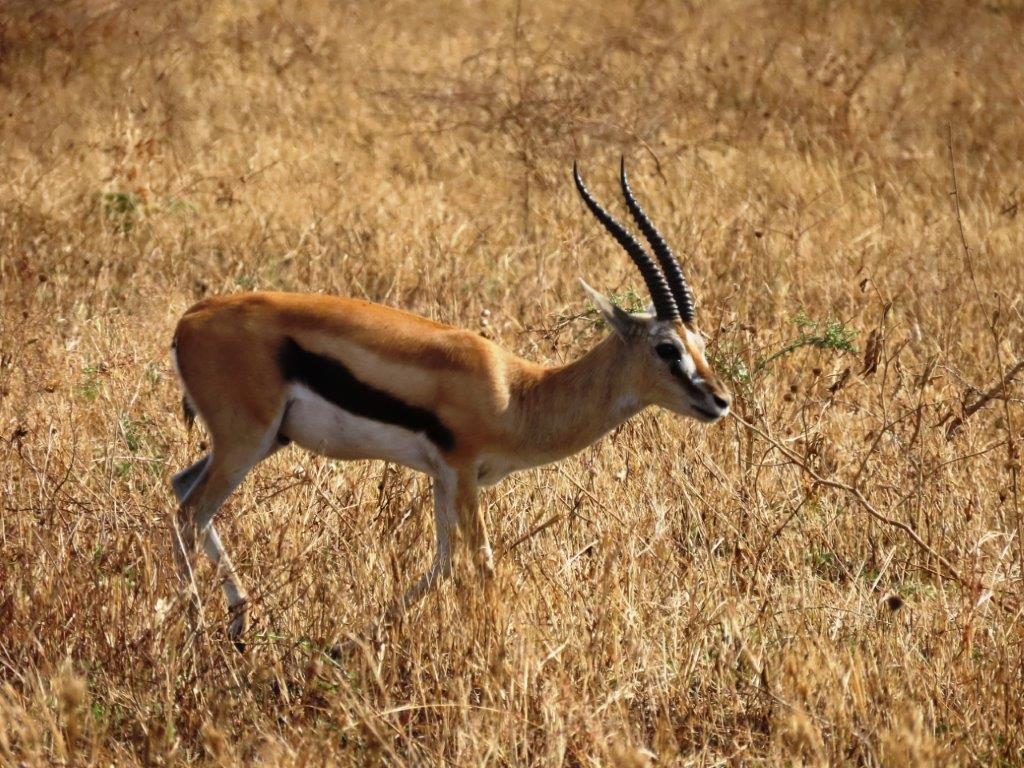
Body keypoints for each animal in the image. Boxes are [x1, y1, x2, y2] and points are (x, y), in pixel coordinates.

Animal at [170, 159, 731, 643]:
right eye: (666, 348)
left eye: (700, 343)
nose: (720, 401)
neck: (518, 393)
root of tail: (191, 317)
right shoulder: (461, 473)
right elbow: (481, 560)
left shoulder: (442, 477)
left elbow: (442, 563)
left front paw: (351, 643)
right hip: (246, 439)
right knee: (192, 512)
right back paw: (199, 630)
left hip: (269, 440)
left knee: (181, 489)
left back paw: (231, 622)